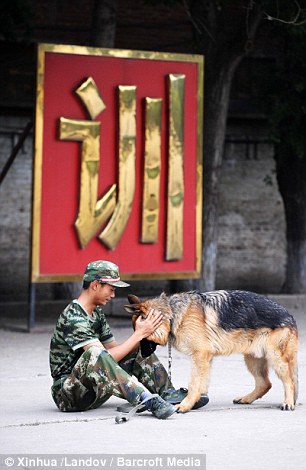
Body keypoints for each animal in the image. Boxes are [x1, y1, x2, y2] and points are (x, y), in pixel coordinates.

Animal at [124, 288, 298, 414]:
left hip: (275, 358)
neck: (172, 314)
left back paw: (288, 402)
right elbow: (202, 383)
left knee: (289, 380)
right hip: (252, 359)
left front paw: (186, 405)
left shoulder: (200, 355)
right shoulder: (206, 358)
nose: (142, 356)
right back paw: (246, 399)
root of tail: (290, 316)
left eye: (141, 334)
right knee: (265, 384)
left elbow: (194, 383)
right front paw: (198, 400)